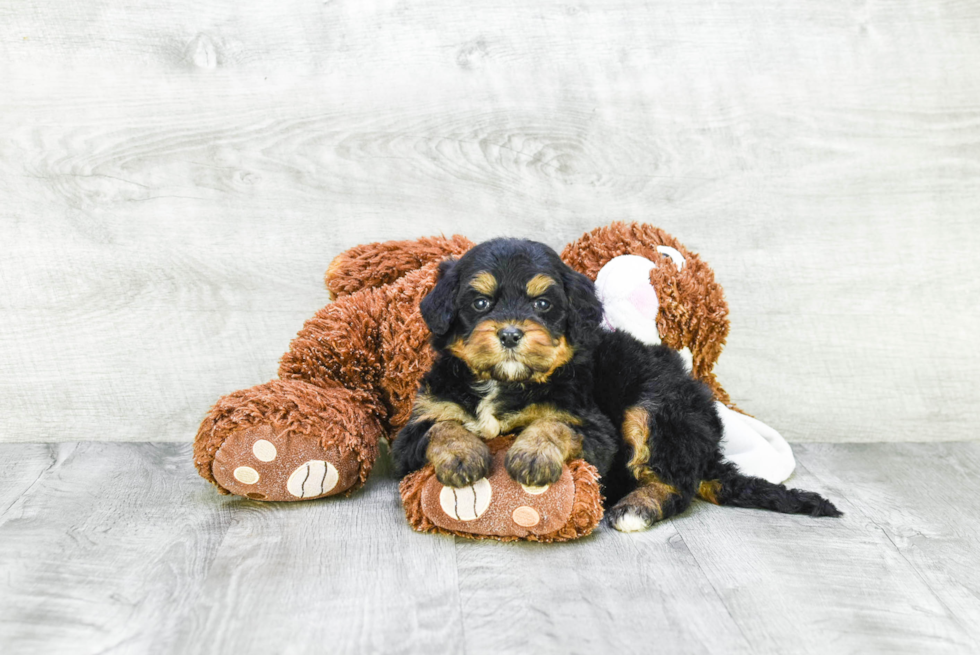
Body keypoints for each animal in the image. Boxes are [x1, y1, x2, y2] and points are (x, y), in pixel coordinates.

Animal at [388, 238, 612, 490]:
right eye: (480, 303)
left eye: (542, 304)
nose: (510, 335)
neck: (501, 383)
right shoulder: (414, 430)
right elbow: (443, 426)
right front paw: (461, 455)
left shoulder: (593, 429)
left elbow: (554, 423)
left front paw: (534, 455)